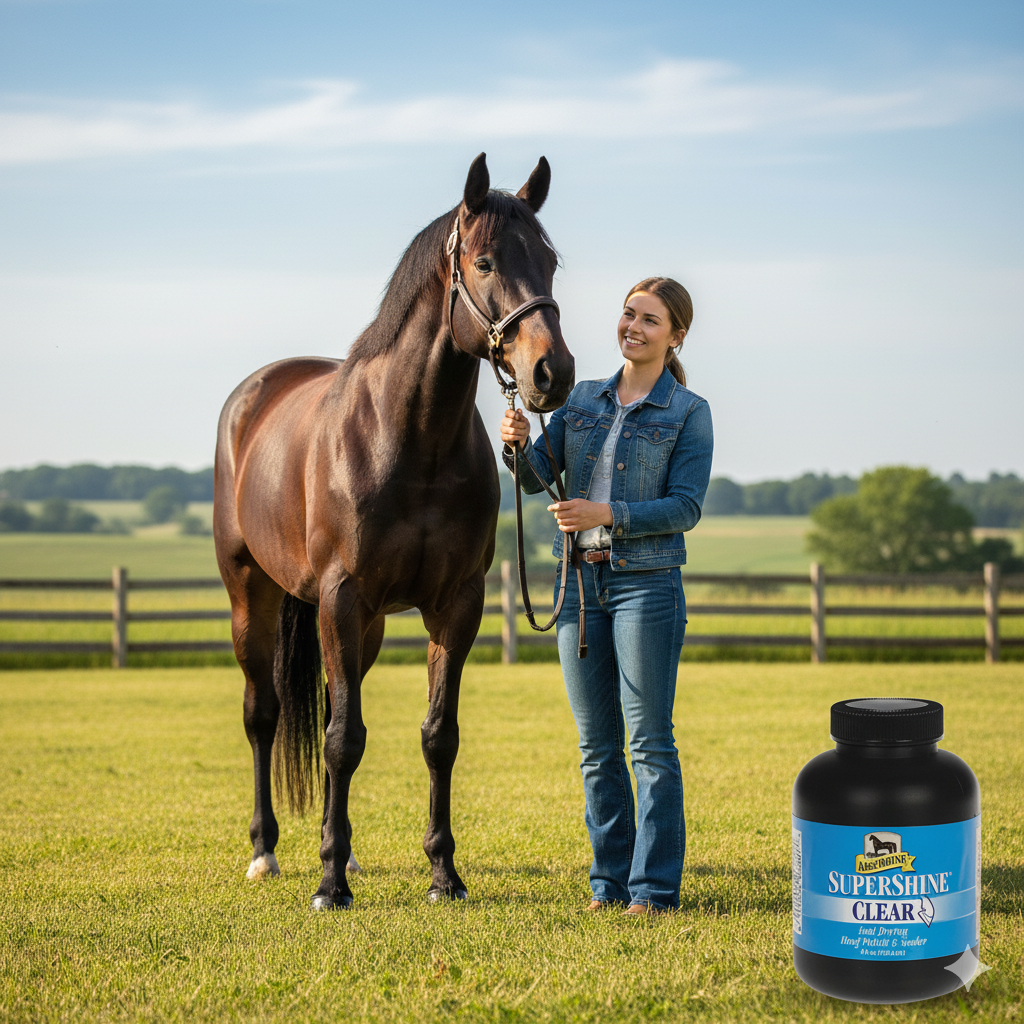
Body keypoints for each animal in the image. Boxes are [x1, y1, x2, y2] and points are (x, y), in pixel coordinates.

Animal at [213, 153, 575, 910]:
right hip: (252, 597)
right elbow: (343, 739)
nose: (552, 373)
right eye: (485, 260)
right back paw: (267, 852)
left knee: (326, 708)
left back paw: (343, 852)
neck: (411, 440)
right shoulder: (342, 597)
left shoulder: (454, 604)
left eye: (551, 261)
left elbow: (437, 736)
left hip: (365, 624)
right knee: (263, 714)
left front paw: (443, 874)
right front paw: (328, 886)